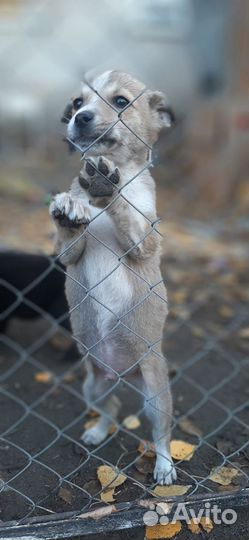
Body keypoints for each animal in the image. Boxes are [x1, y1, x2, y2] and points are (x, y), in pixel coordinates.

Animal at [49, 68, 177, 486]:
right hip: (95, 384)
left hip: (155, 395)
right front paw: (70, 207)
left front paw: (108, 186)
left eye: (121, 101)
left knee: (161, 433)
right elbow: (71, 232)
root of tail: (123, 375)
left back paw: (165, 468)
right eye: (77, 102)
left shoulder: (145, 243)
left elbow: (125, 209)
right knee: (113, 407)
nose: (80, 117)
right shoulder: (68, 256)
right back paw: (97, 431)